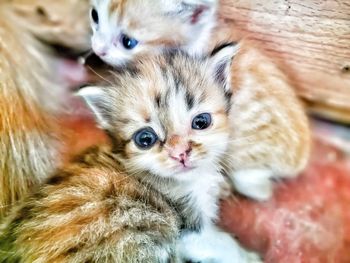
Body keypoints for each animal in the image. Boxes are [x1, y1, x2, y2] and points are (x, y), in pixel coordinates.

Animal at [0, 44, 258, 262]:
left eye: (201, 122)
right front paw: (248, 255)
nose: (180, 154)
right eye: (145, 139)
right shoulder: (189, 231)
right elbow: (221, 241)